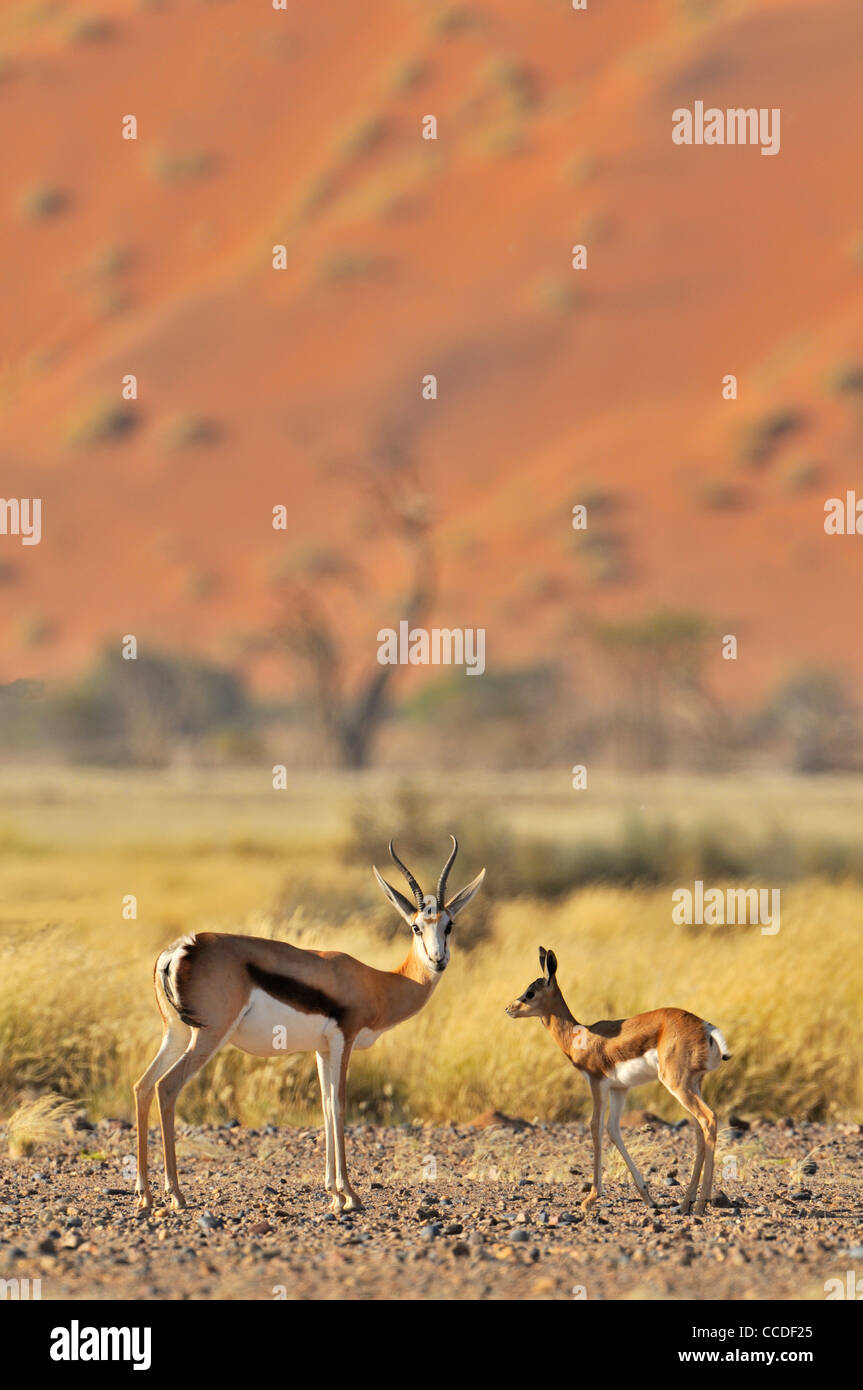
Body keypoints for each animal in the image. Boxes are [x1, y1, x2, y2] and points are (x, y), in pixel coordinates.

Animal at [135, 834, 483, 1217]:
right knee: (166, 1087)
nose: (438, 960)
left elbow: (326, 1105)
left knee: (142, 1085)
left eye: (449, 925)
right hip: (208, 1036)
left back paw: (145, 1194)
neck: (378, 983)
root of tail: (180, 949)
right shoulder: (344, 1039)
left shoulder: (322, 1049)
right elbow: (340, 1105)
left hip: (177, 1034)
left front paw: (334, 1193)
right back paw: (176, 1194)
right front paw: (351, 1195)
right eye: (416, 926)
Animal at [505, 950, 728, 1212]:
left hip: (677, 1084)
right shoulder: (619, 1089)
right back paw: (686, 1203)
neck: (580, 1036)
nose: (509, 1008)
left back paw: (701, 1203)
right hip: (693, 1084)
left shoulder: (596, 1083)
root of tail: (706, 1028)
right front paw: (647, 1197)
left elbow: (595, 1127)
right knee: (699, 1130)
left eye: (530, 992)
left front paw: (591, 1198)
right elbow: (613, 1130)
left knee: (709, 1118)